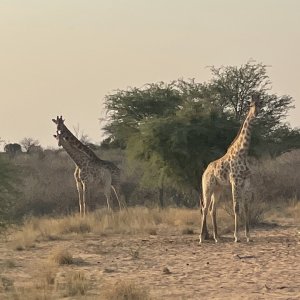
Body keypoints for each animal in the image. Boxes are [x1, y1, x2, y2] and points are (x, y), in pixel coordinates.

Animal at [199, 94, 260, 244]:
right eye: (251, 105)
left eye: (260, 104)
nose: (256, 113)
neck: (243, 153)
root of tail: (204, 171)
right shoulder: (235, 182)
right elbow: (236, 207)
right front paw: (236, 237)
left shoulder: (246, 183)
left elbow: (246, 208)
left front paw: (248, 237)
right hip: (207, 187)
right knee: (204, 208)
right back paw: (201, 238)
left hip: (218, 189)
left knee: (212, 209)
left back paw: (216, 238)